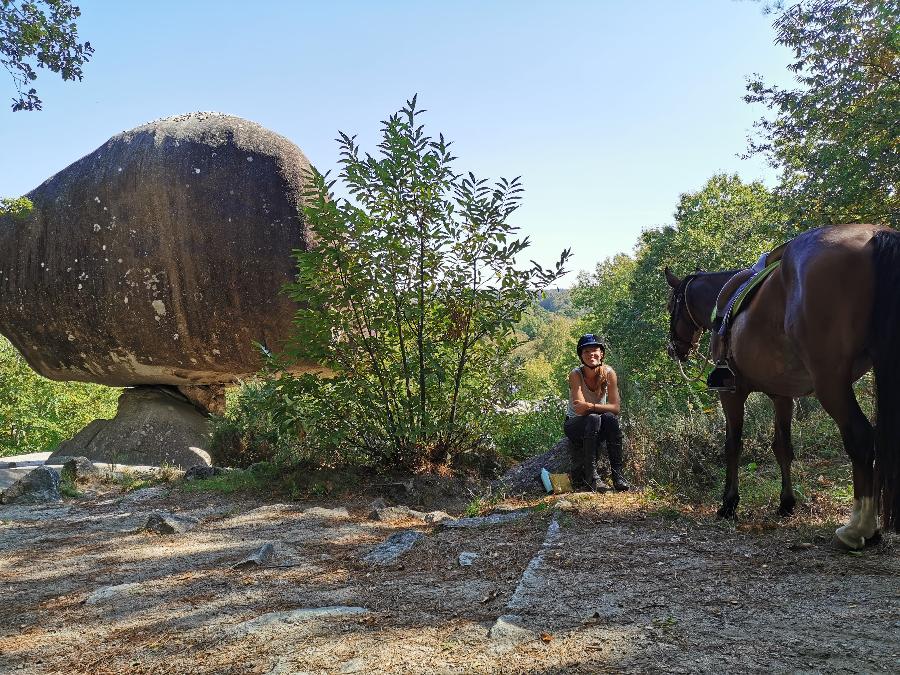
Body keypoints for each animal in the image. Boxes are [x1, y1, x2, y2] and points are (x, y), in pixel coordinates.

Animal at [660, 224, 900, 552]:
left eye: (671, 305)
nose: (674, 349)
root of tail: (875, 235)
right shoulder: (783, 396)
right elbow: (783, 447)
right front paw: (787, 502)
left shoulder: (731, 394)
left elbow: (733, 445)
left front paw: (729, 503)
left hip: (830, 383)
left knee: (861, 437)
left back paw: (858, 528)